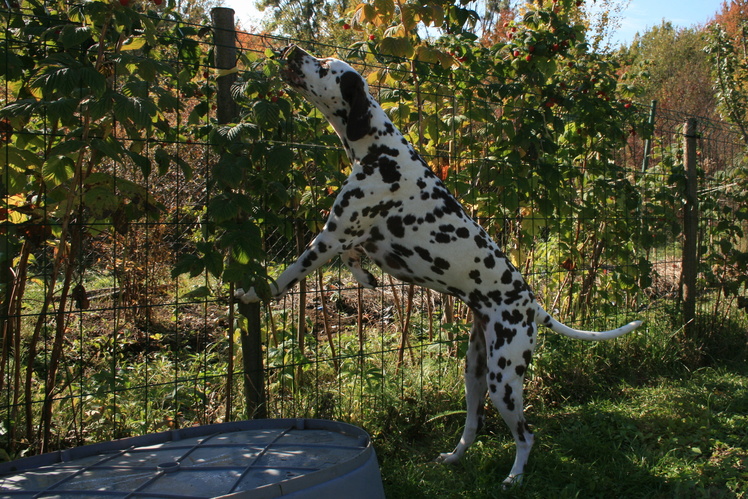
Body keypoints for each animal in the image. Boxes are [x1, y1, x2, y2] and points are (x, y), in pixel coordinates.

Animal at [235, 45, 644, 486]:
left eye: (326, 66)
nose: (292, 50)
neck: (383, 152)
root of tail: (532, 305)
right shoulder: (349, 237)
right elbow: (352, 258)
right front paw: (365, 277)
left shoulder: (329, 237)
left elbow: (288, 275)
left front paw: (252, 292)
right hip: (474, 373)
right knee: (473, 425)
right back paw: (453, 457)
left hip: (504, 380)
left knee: (527, 435)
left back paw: (514, 477)